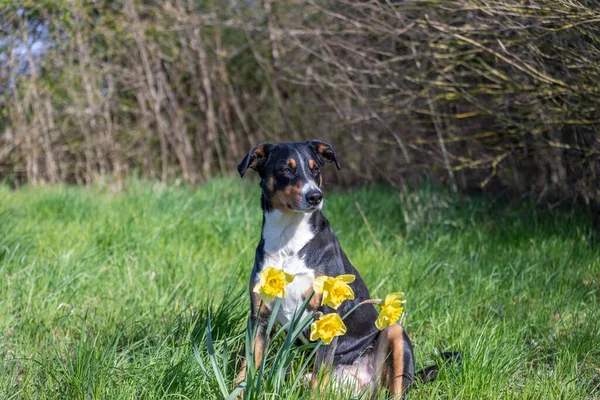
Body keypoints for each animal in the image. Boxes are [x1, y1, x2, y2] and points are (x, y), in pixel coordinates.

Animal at [237, 141, 414, 396]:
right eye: (285, 169)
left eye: (316, 169)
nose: (315, 196)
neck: (287, 241)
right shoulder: (260, 317)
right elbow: (245, 370)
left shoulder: (326, 318)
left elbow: (318, 380)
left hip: (394, 331)